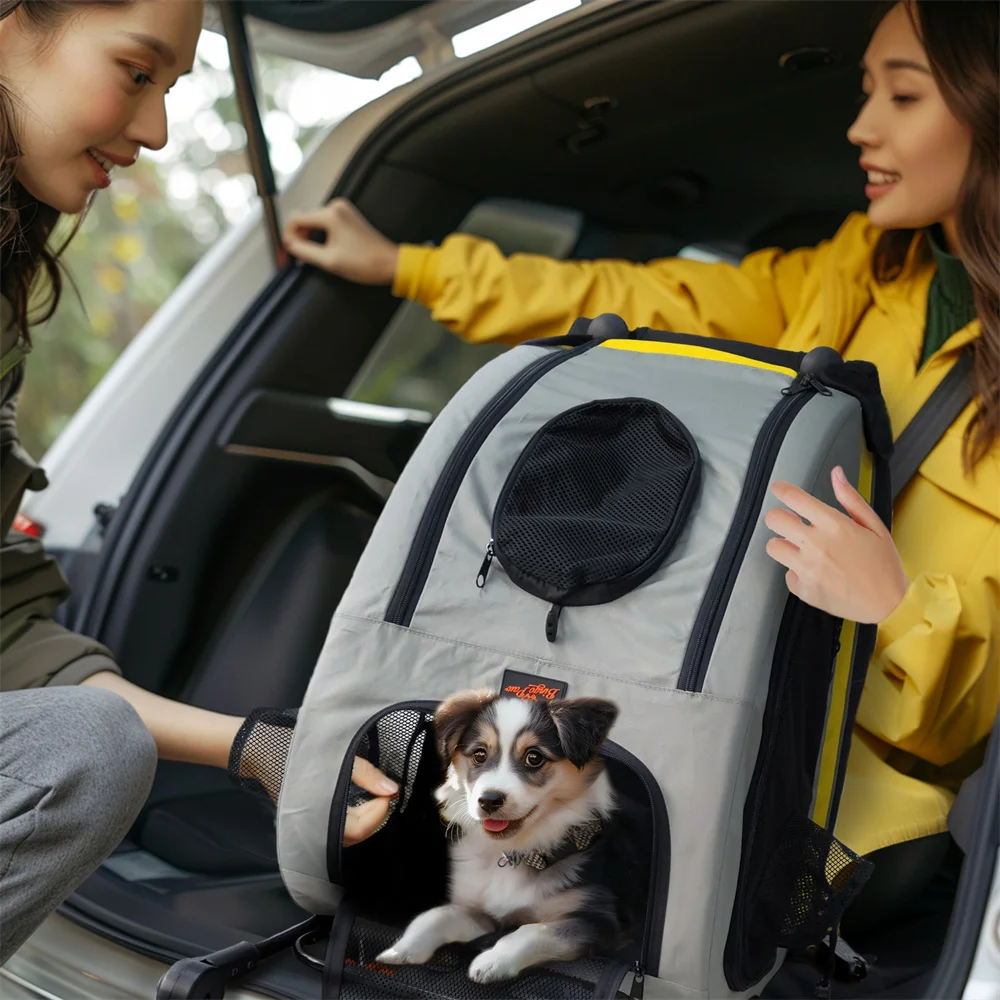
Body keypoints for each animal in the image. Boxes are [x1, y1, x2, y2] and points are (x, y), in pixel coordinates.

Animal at [376, 688, 620, 984]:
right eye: (479, 755)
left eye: (534, 757)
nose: (489, 800)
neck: (516, 850)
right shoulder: (481, 913)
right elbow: (439, 914)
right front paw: (402, 949)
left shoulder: (599, 920)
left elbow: (535, 931)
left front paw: (493, 962)